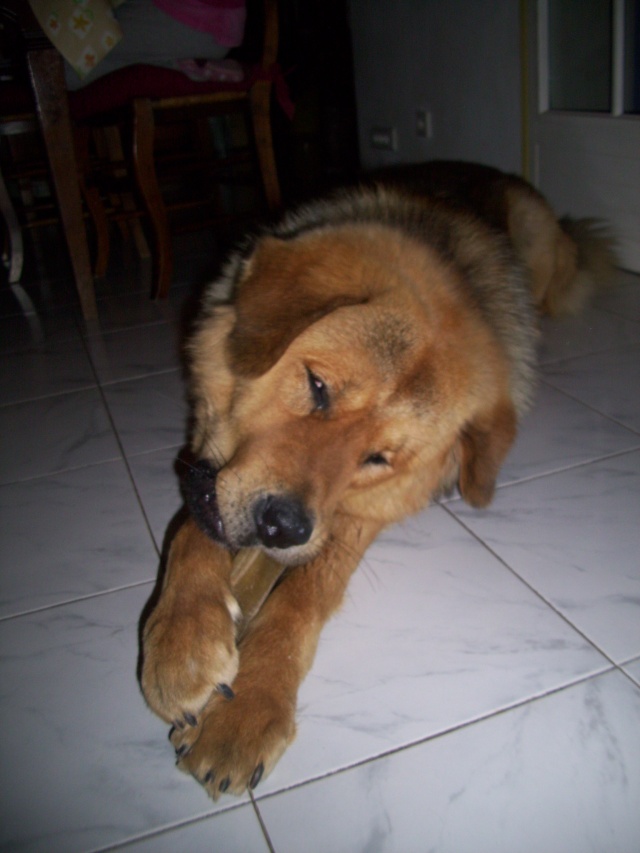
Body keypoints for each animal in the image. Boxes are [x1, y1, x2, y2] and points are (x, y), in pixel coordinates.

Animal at [139, 160, 616, 800]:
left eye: (378, 457)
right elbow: (190, 531)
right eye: (318, 387)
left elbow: (300, 599)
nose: (281, 527)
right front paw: (183, 641)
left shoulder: (355, 517)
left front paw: (249, 707)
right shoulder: (208, 463)